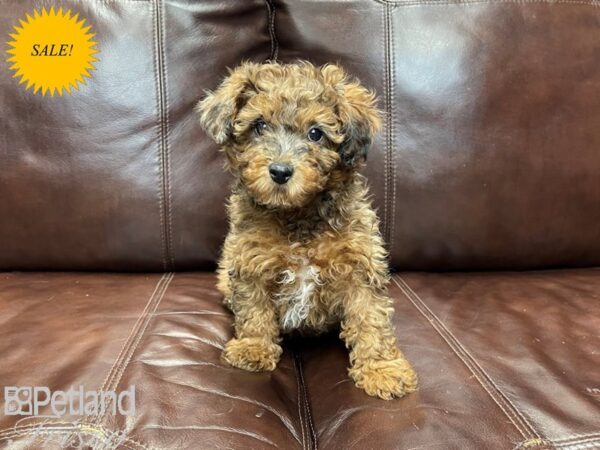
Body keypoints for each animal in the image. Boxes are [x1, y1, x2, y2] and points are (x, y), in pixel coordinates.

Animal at [197, 60, 418, 400]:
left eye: (316, 133)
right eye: (259, 126)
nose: (280, 171)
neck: (298, 213)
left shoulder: (361, 263)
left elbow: (371, 317)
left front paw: (382, 369)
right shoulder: (249, 258)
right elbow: (254, 308)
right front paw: (253, 348)